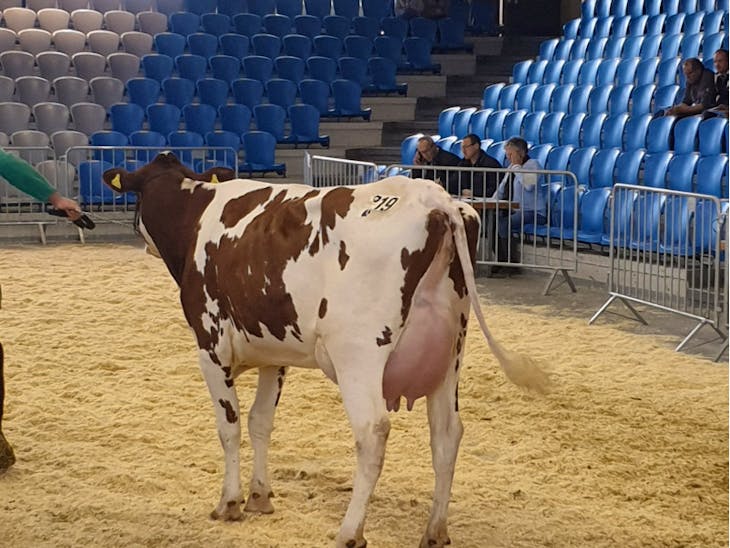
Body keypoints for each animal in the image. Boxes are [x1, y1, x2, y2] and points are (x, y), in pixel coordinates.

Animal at [102, 152, 549, 548]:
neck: (194, 214)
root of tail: (435, 199)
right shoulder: (273, 353)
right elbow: (260, 421)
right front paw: (260, 497)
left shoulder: (210, 346)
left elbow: (229, 426)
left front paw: (229, 503)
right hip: (449, 354)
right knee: (446, 434)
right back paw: (434, 531)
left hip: (359, 355)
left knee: (373, 432)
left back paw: (350, 533)